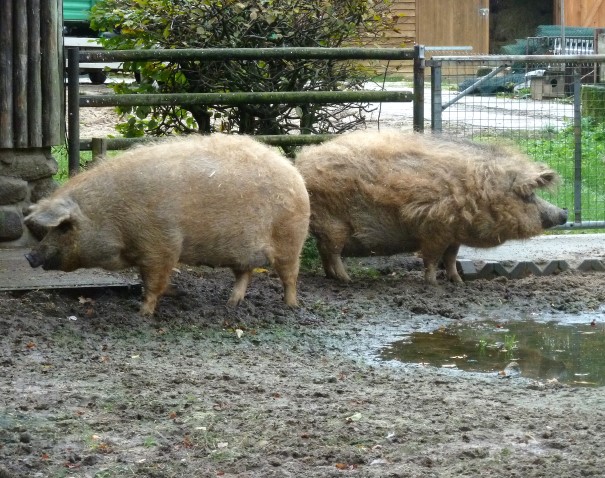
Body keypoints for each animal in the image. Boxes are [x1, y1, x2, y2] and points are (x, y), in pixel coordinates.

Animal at [25, 134, 310, 315]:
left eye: (64, 227)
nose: (29, 256)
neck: (112, 217)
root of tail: (295, 174)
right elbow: (150, 280)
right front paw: (178, 294)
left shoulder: (162, 245)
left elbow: (154, 282)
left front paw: (142, 313)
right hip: (244, 251)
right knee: (245, 273)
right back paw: (231, 304)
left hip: (290, 239)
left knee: (291, 276)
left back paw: (291, 306)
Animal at [295, 129, 568, 285]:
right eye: (528, 195)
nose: (564, 213)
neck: (479, 195)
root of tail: (301, 163)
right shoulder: (434, 229)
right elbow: (432, 258)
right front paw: (432, 284)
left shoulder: (453, 235)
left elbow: (451, 258)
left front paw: (458, 282)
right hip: (333, 224)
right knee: (331, 251)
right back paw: (347, 280)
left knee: (324, 251)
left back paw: (332, 277)